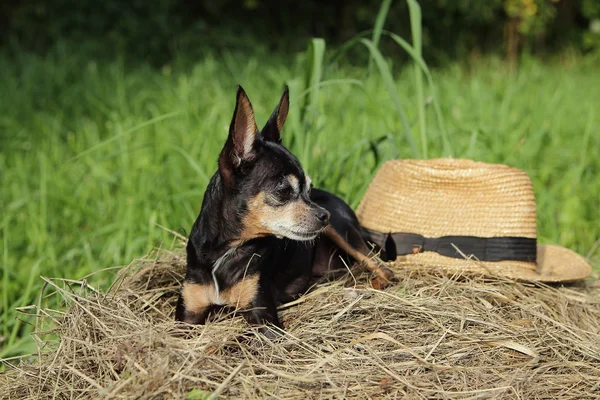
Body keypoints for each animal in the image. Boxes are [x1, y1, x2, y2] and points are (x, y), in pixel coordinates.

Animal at [175, 86, 394, 336]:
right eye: (283, 191)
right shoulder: (187, 316)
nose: (324, 215)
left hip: (343, 231)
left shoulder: (264, 317)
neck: (225, 252)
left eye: (309, 188)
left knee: (385, 270)